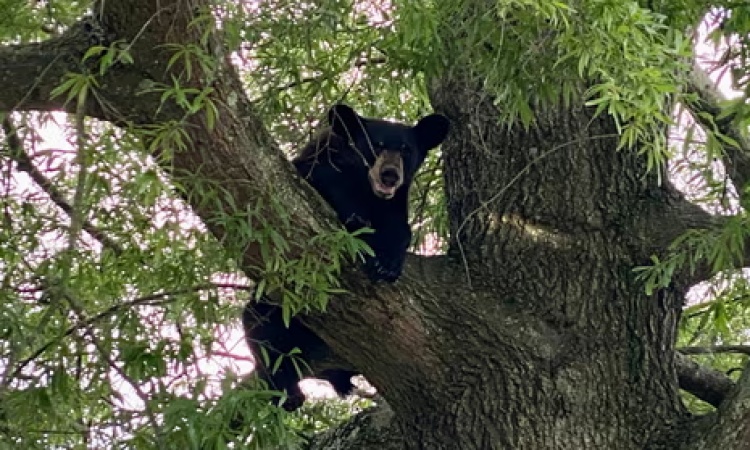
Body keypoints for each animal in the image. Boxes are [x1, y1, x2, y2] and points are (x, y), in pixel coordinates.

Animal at [243, 104, 449, 411]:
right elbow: (319, 184)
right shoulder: (317, 165)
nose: (390, 175)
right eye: (376, 145)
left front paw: (387, 263)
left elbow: (401, 229)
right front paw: (356, 220)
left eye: (406, 150)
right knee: (260, 327)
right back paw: (290, 392)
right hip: (275, 306)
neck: (365, 188)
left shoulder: (394, 203)